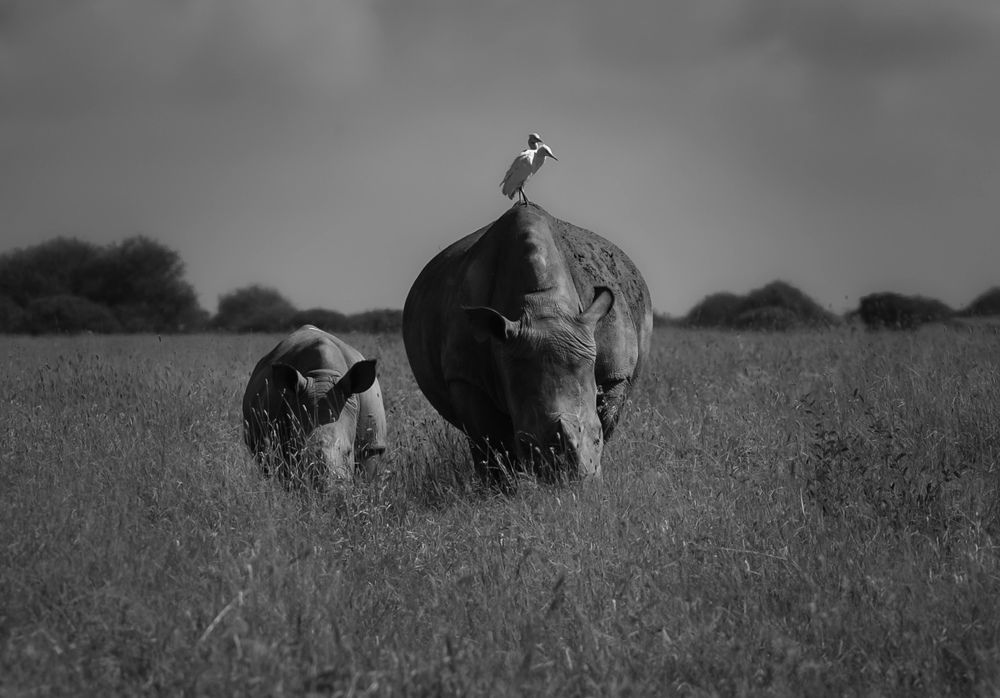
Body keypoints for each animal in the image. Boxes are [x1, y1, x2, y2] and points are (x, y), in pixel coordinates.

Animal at [242, 325, 387, 489]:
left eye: (349, 452)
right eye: (300, 452)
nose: (330, 488)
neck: (323, 375)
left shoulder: (371, 445)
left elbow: (366, 476)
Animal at [403, 204, 652, 487]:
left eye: (597, 436)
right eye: (525, 441)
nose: (575, 483)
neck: (543, 302)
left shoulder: (615, 371)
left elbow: (608, 414)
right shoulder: (466, 375)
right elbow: (491, 441)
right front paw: (504, 488)